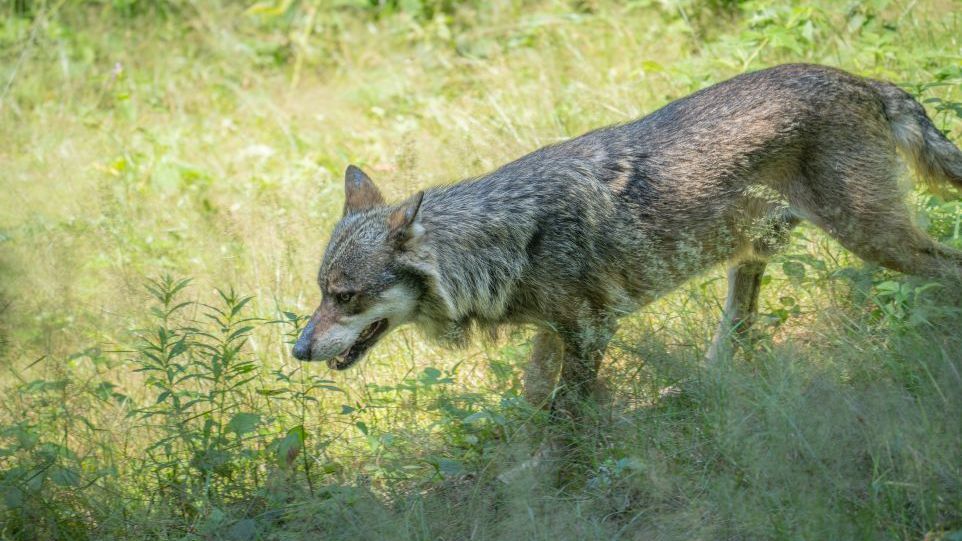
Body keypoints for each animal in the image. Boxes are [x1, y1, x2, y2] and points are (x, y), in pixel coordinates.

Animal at [292, 64, 962, 420]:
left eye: (345, 297)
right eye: (321, 293)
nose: (297, 350)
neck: (505, 243)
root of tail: (863, 80)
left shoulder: (590, 331)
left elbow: (564, 418)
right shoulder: (554, 332)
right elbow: (534, 398)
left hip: (873, 239)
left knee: (950, 268)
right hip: (749, 260)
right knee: (734, 341)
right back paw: (692, 389)